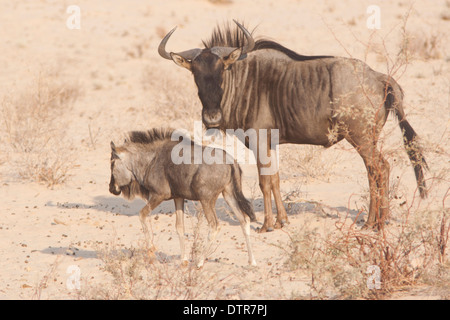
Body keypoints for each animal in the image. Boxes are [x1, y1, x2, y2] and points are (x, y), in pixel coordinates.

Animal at [108, 128, 256, 268]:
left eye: (112, 163)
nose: (111, 188)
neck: (151, 159)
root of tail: (230, 161)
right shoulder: (178, 198)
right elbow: (180, 228)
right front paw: (183, 260)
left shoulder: (159, 195)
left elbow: (142, 215)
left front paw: (150, 251)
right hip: (228, 195)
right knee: (244, 220)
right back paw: (251, 261)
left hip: (207, 200)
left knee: (215, 225)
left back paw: (199, 262)